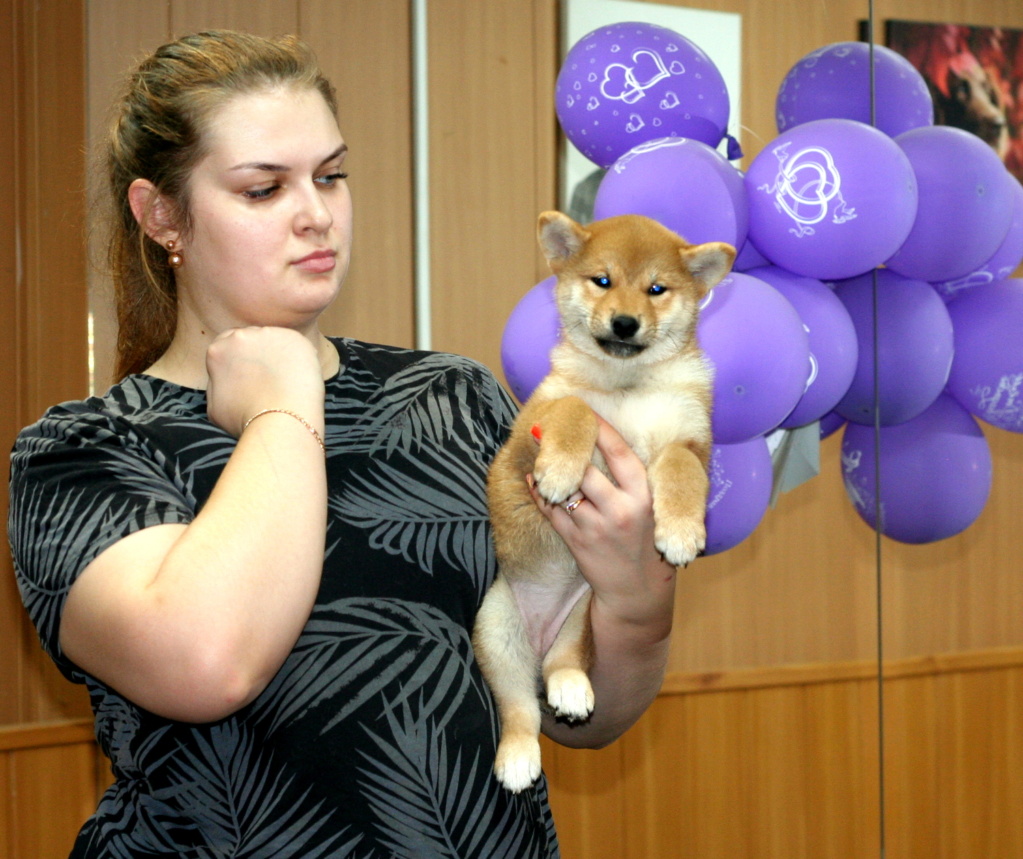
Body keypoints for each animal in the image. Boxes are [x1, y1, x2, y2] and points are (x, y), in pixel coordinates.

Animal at [472, 212, 736, 793]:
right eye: (603, 280)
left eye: (656, 289)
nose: (625, 323)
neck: (626, 387)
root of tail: (539, 638)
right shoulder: (526, 435)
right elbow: (576, 409)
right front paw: (560, 470)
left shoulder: (691, 441)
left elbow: (681, 471)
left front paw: (680, 531)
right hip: (496, 627)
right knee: (519, 709)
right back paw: (518, 758)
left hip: (584, 615)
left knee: (562, 666)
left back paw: (570, 688)